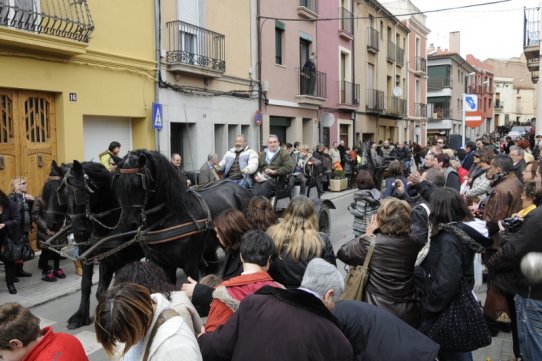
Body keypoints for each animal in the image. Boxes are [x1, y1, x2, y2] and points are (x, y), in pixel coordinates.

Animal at [47, 159, 143, 328]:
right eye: (62, 195)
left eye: (80, 194)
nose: (51, 224)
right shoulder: (95, 255)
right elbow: (88, 285)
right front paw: (81, 316)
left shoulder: (123, 259)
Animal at [110, 149, 255, 282]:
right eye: (118, 182)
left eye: (139, 183)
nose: (130, 221)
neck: (169, 218)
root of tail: (243, 190)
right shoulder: (162, 265)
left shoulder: (190, 264)